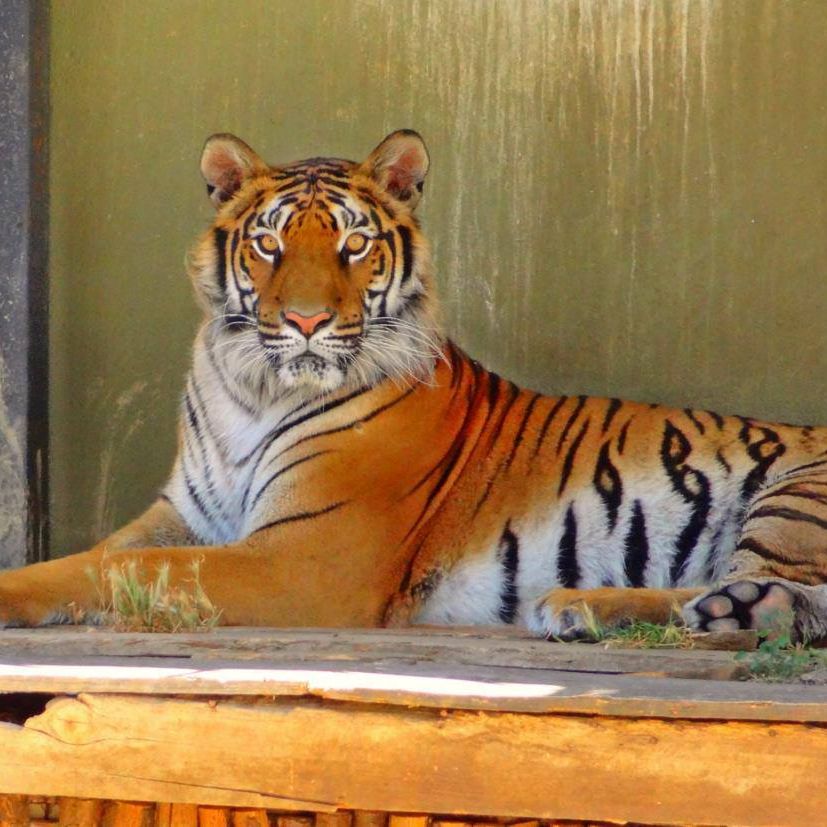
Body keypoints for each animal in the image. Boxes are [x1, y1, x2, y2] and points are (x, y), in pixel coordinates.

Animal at [1, 131, 827, 648]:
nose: (305, 320)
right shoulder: (186, 515)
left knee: (793, 599)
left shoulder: (306, 556)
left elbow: (122, 566)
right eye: (268, 243)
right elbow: (90, 555)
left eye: (353, 243)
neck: (254, 389)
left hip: (793, 496)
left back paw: (596, 604)